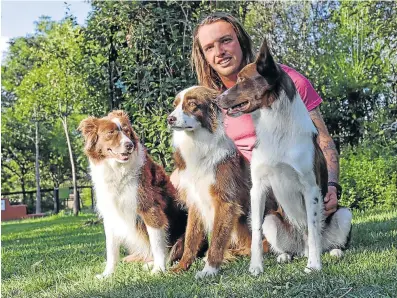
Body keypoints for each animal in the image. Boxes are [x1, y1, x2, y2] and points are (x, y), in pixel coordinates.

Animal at [79, 110, 187, 278]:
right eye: (111, 133)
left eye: (127, 131)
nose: (129, 145)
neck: (117, 170)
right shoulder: (111, 214)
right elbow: (111, 250)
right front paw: (107, 274)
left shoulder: (150, 208)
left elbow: (157, 244)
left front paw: (159, 269)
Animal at [167, 86, 256, 280]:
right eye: (175, 105)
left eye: (192, 104)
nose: (169, 119)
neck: (197, 144)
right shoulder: (195, 201)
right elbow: (191, 238)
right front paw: (182, 266)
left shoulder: (225, 201)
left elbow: (216, 239)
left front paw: (210, 269)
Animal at [217, 40, 350, 274]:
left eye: (242, 80)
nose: (216, 99)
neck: (276, 127)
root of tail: (301, 247)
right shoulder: (258, 188)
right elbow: (256, 232)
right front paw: (256, 267)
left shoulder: (311, 188)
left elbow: (313, 228)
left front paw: (314, 266)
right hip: (272, 220)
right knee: (283, 243)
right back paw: (284, 256)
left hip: (345, 215)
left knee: (323, 240)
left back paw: (331, 253)